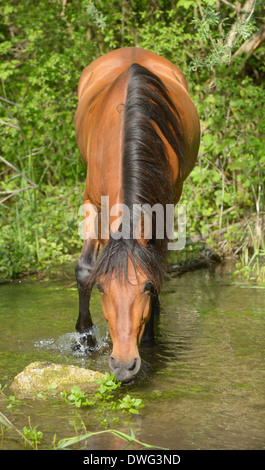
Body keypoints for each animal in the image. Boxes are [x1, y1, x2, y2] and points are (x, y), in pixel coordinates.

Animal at [73, 47, 199, 382]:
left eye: (146, 287)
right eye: (102, 288)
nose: (123, 365)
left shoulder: (165, 207)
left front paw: (152, 338)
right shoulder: (91, 201)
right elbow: (85, 268)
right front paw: (84, 340)